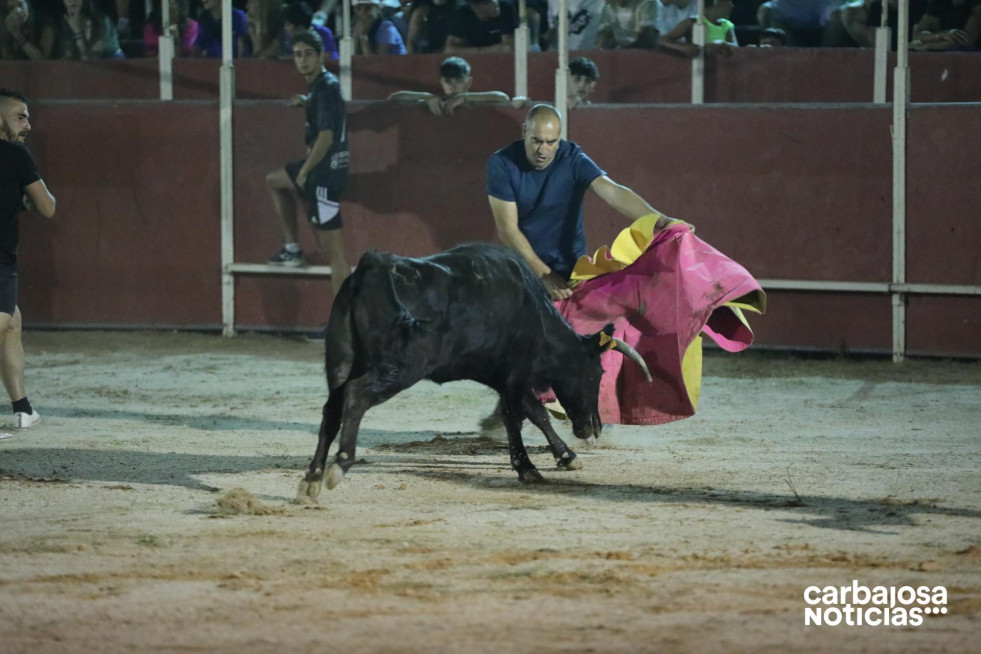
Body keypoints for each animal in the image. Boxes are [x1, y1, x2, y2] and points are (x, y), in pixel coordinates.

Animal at [298, 246, 652, 502]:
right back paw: (339, 465)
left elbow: (535, 412)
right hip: (399, 367)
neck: (535, 310)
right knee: (355, 397)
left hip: (340, 362)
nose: (595, 428)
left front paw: (566, 456)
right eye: (598, 372)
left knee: (331, 409)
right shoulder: (514, 373)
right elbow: (516, 416)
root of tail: (373, 265)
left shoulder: (499, 375)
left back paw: (311, 478)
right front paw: (527, 468)